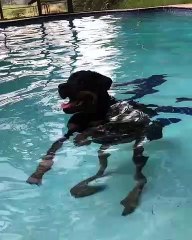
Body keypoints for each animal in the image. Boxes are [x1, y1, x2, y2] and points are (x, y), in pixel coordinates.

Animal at [26, 69, 174, 216]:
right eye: (69, 79)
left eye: (82, 81)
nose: (60, 86)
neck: (89, 114)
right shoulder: (69, 132)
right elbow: (51, 150)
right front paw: (37, 174)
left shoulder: (115, 125)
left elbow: (95, 129)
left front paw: (82, 138)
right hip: (106, 149)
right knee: (102, 167)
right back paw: (85, 187)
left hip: (138, 146)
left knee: (140, 176)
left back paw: (130, 198)